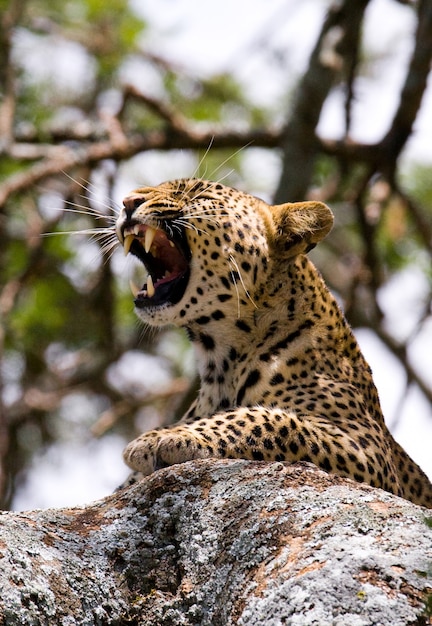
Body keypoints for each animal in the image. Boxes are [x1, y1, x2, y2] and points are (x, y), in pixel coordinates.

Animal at [114, 176, 432, 508]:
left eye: (195, 193)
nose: (128, 202)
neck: (220, 361)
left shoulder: (365, 447)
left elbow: (270, 419)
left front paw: (164, 437)